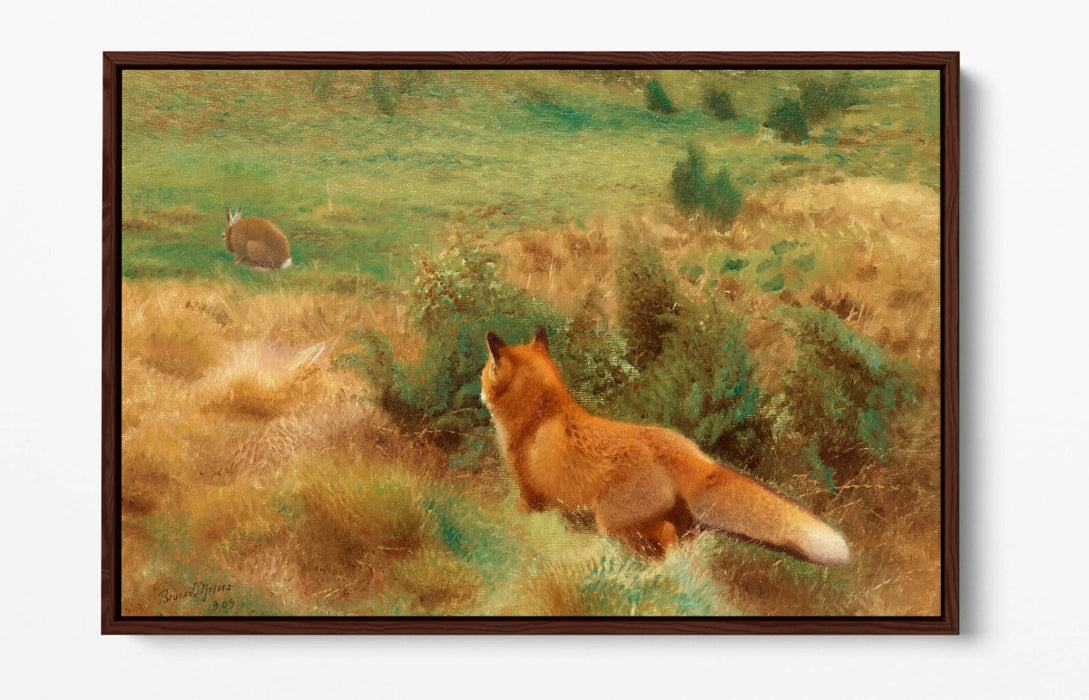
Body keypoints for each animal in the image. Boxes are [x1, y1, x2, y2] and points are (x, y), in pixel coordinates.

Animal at [480, 328, 850, 566]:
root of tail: (688, 453)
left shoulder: (530, 496)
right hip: (678, 525)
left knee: (663, 538)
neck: (539, 415)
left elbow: (515, 518)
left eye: (485, 371)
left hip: (613, 522)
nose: (479, 390)